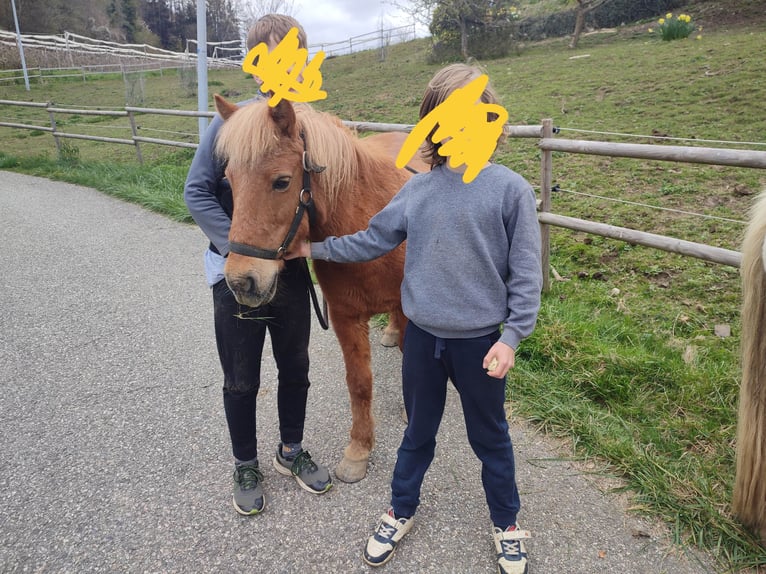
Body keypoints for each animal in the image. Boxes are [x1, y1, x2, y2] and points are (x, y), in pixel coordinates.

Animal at [212, 94, 427, 483]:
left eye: (282, 182)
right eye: (230, 181)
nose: (241, 282)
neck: (369, 223)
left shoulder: (407, 310)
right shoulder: (345, 317)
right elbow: (359, 382)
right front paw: (359, 450)